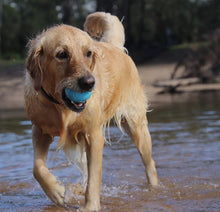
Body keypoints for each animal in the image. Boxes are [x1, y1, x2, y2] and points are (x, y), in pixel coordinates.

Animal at [24, 12, 158, 212]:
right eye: (62, 54)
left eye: (88, 53)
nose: (89, 83)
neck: (61, 107)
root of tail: (114, 45)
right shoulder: (39, 130)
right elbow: (37, 167)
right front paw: (56, 191)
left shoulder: (93, 135)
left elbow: (94, 179)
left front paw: (90, 206)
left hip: (136, 125)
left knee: (150, 163)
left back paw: (154, 189)